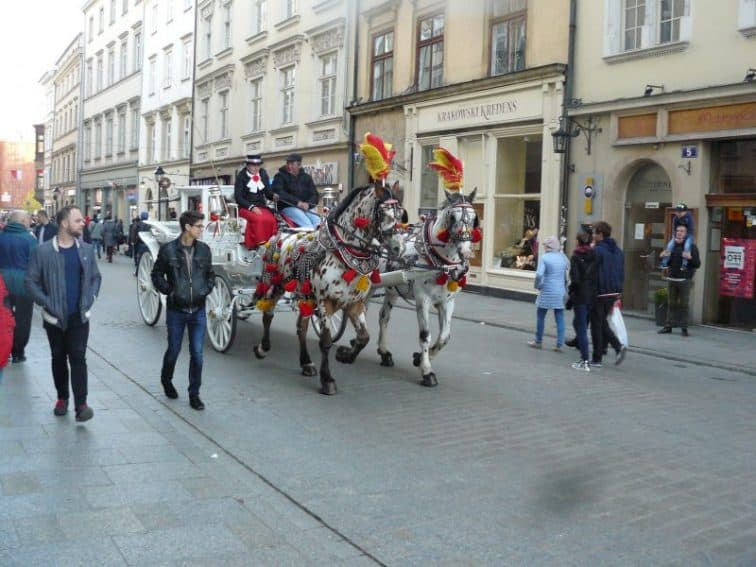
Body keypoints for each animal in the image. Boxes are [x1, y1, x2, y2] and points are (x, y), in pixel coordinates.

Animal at [251, 184, 402, 398]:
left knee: (301, 327)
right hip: (275, 284)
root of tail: (281, 231)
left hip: (304, 295)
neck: (343, 253)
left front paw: (345, 355)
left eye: (401, 214)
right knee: (268, 315)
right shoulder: (325, 303)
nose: (398, 248)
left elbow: (364, 337)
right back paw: (263, 348)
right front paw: (327, 380)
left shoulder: (354, 304)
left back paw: (306, 362)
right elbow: (326, 341)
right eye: (383, 213)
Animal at [376, 189, 482, 388]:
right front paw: (427, 371)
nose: (465, 252)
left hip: (392, 290)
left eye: (474, 218)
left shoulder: (447, 302)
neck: (441, 263)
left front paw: (420, 358)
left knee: (383, 317)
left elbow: (444, 336)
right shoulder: (422, 300)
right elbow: (425, 335)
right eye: (452, 216)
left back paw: (384, 352)